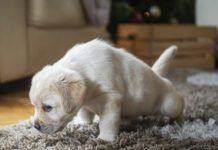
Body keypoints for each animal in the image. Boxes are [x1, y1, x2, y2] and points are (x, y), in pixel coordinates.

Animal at [29, 38, 184, 141]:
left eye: (47, 107)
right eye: (34, 106)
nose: (35, 126)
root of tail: (159, 76)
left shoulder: (110, 99)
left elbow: (106, 122)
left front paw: (104, 139)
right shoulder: (84, 101)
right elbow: (85, 112)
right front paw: (82, 123)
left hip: (170, 105)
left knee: (180, 104)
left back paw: (179, 121)